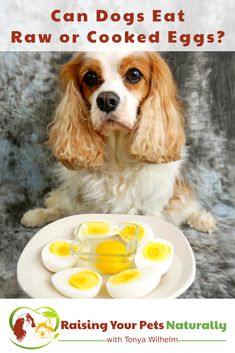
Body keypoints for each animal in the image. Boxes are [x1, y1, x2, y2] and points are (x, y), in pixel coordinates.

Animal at [20, 48, 217, 231]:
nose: (106, 100)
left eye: (134, 74)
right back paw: (37, 215)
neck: (117, 159)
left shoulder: (150, 206)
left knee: (186, 205)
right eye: (90, 77)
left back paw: (202, 219)